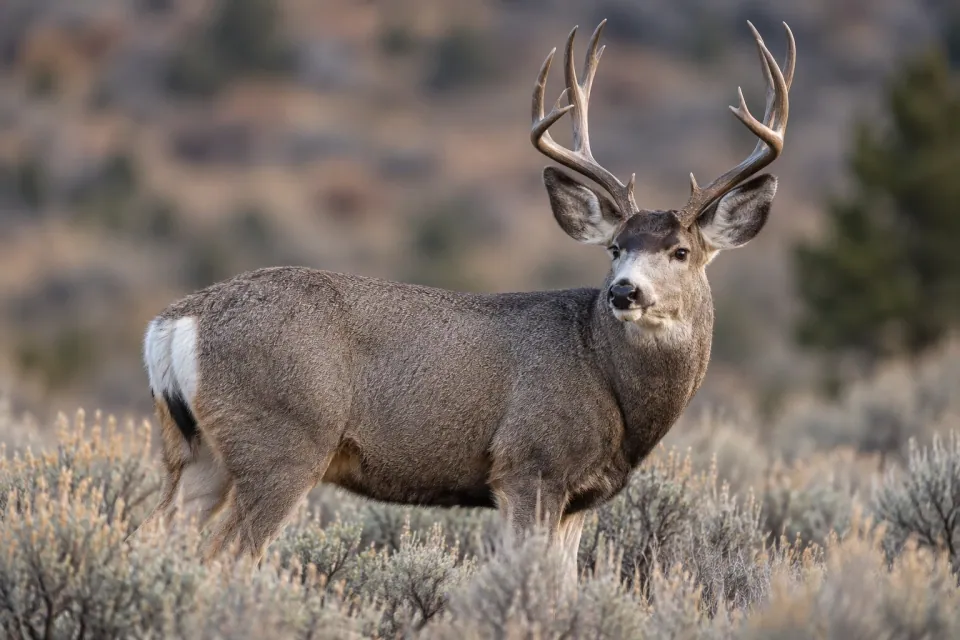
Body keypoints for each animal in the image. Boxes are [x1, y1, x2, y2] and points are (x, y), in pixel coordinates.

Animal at [138, 19, 795, 582]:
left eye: (680, 251)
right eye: (615, 247)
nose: (624, 290)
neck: (610, 382)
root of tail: (174, 324)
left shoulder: (579, 498)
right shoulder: (528, 462)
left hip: (193, 451)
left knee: (160, 536)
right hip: (282, 441)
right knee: (226, 554)